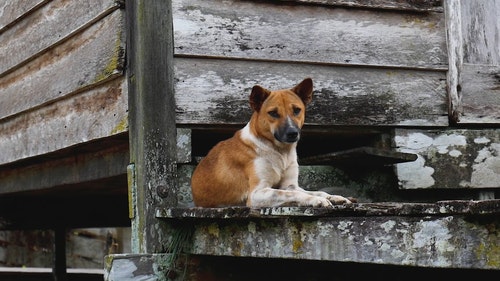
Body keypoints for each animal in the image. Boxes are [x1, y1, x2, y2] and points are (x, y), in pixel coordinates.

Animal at [190, 77, 352, 207]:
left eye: (297, 110)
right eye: (273, 113)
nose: (293, 133)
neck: (280, 152)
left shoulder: (290, 185)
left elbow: (316, 191)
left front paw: (333, 197)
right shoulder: (256, 194)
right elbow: (294, 194)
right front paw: (315, 200)